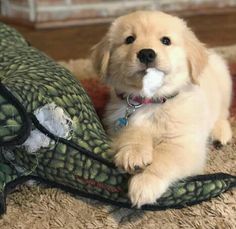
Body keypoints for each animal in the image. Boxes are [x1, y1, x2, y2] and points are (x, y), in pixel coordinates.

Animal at [91, 10, 232, 208]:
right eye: (129, 39)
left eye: (166, 40)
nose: (146, 54)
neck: (151, 102)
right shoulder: (117, 121)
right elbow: (133, 130)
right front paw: (134, 153)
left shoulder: (185, 144)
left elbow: (164, 158)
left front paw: (145, 183)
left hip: (224, 83)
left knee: (223, 113)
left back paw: (220, 132)